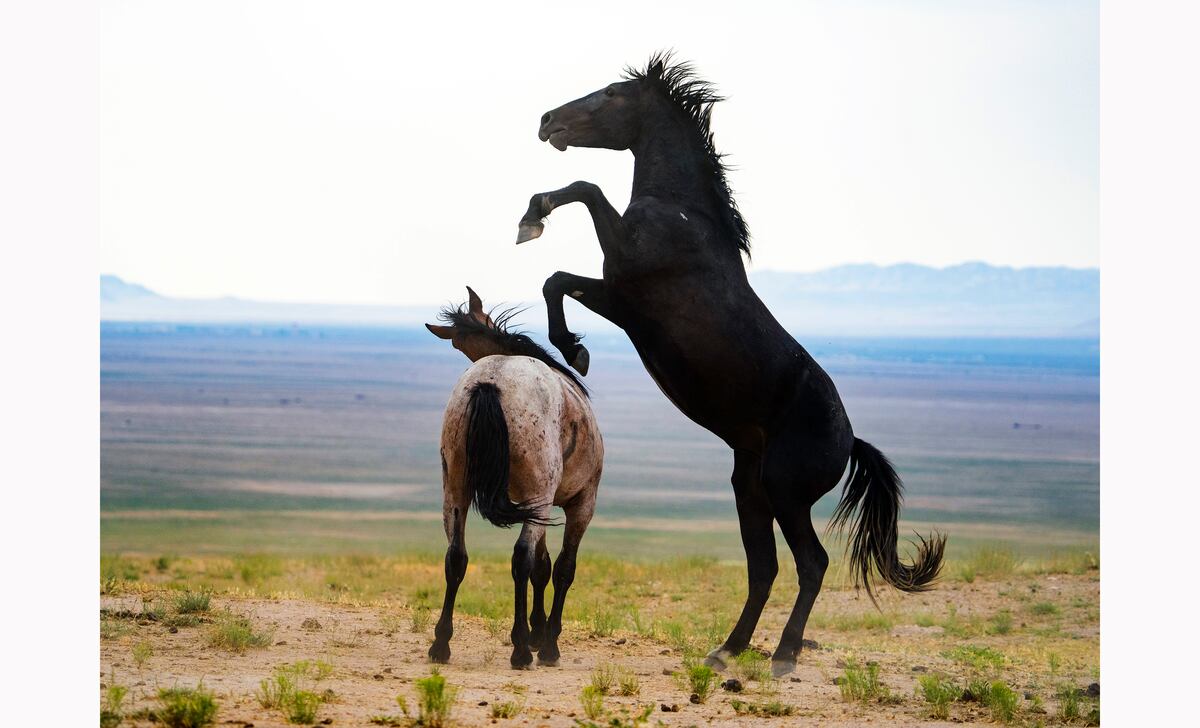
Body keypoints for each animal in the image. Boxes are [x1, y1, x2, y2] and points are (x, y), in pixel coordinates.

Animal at [424, 287, 604, 669]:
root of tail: (490, 382)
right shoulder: (579, 502)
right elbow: (562, 568)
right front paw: (547, 643)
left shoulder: (536, 507)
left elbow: (543, 566)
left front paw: (539, 633)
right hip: (540, 496)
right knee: (520, 558)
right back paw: (520, 649)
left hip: (456, 492)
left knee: (455, 556)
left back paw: (441, 644)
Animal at [516, 53, 945, 678]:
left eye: (614, 93)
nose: (549, 120)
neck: (682, 214)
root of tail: (849, 441)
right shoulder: (618, 299)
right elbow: (557, 279)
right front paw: (572, 344)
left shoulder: (625, 285)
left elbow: (585, 196)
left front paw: (537, 230)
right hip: (751, 489)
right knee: (764, 568)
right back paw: (727, 650)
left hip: (785, 490)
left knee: (811, 563)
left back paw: (783, 655)